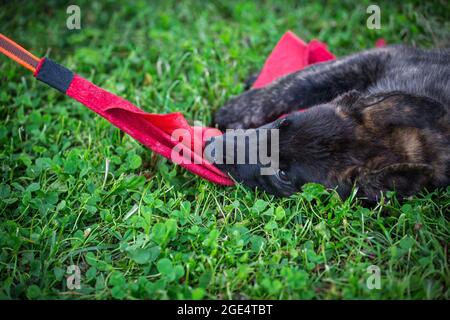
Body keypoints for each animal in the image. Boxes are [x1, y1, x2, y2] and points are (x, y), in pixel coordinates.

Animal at [208, 45, 450, 200]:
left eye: (281, 175)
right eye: (282, 122)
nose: (210, 148)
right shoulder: (385, 56)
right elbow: (304, 81)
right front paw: (238, 109)